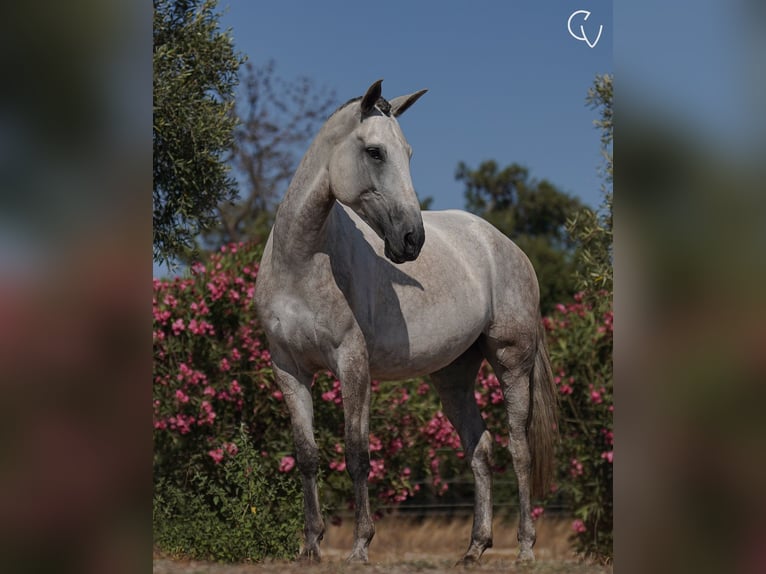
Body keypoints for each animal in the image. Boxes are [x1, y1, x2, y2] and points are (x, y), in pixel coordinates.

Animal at [255, 81, 560, 568]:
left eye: (409, 153)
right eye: (375, 152)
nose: (412, 240)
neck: (300, 264)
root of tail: (505, 246)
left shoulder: (352, 364)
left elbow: (356, 453)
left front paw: (360, 546)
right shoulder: (288, 368)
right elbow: (307, 454)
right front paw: (311, 546)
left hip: (512, 362)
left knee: (519, 449)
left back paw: (525, 549)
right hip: (453, 376)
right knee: (480, 449)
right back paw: (474, 548)